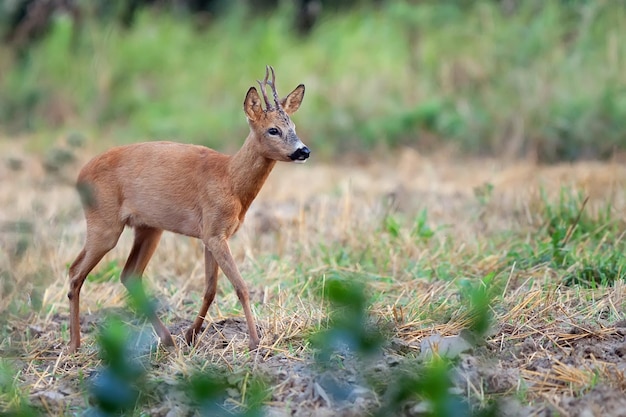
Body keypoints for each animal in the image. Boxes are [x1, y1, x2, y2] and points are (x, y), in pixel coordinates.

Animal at [67, 65, 308, 352]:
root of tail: (79, 176)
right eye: (273, 130)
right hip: (104, 222)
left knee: (128, 274)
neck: (230, 180)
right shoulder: (214, 231)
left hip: (148, 228)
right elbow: (241, 286)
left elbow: (210, 289)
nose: (303, 151)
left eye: (293, 126)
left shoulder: (211, 235)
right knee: (75, 272)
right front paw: (254, 341)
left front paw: (191, 335)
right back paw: (74, 344)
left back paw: (167, 339)